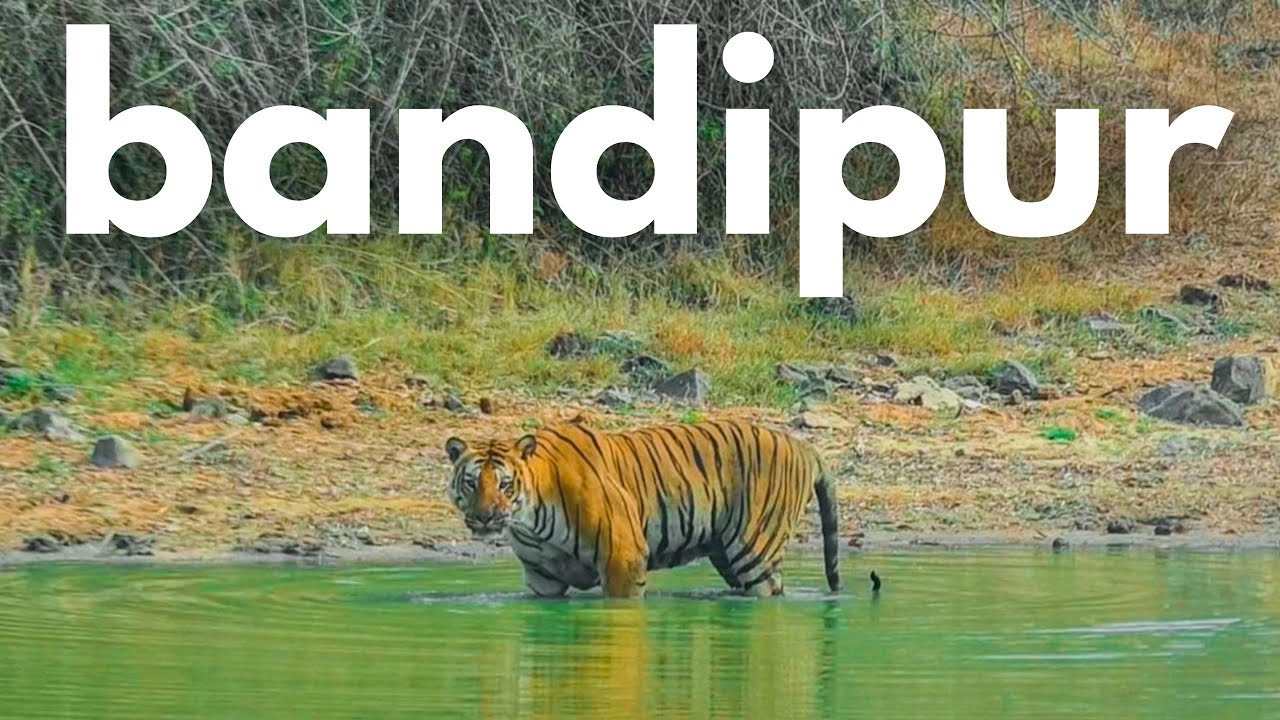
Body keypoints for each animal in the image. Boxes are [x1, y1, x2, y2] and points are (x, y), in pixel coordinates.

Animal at [443, 418, 842, 598]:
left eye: (505, 484)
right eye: (472, 483)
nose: (484, 517)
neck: (530, 519)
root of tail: (801, 444)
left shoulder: (623, 557)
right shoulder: (543, 580)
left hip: (754, 553)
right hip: (728, 556)